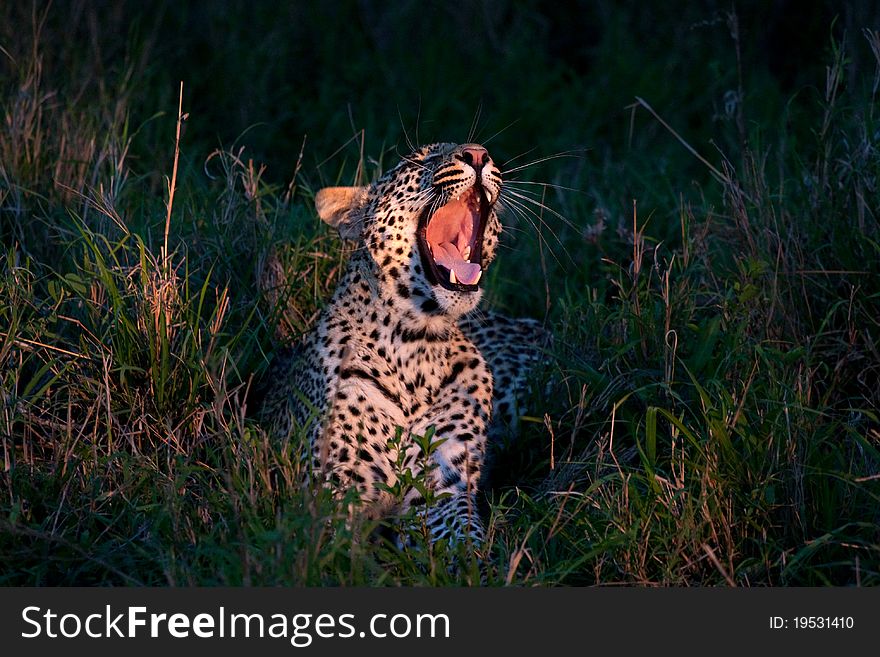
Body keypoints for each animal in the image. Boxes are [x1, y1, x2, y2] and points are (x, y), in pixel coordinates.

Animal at [262, 141, 548, 544]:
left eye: (483, 154)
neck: (417, 345)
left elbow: (467, 541)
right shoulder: (329, 491)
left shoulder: (443, 489)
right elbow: (333, 549)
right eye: (419, 158)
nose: (478, 154)